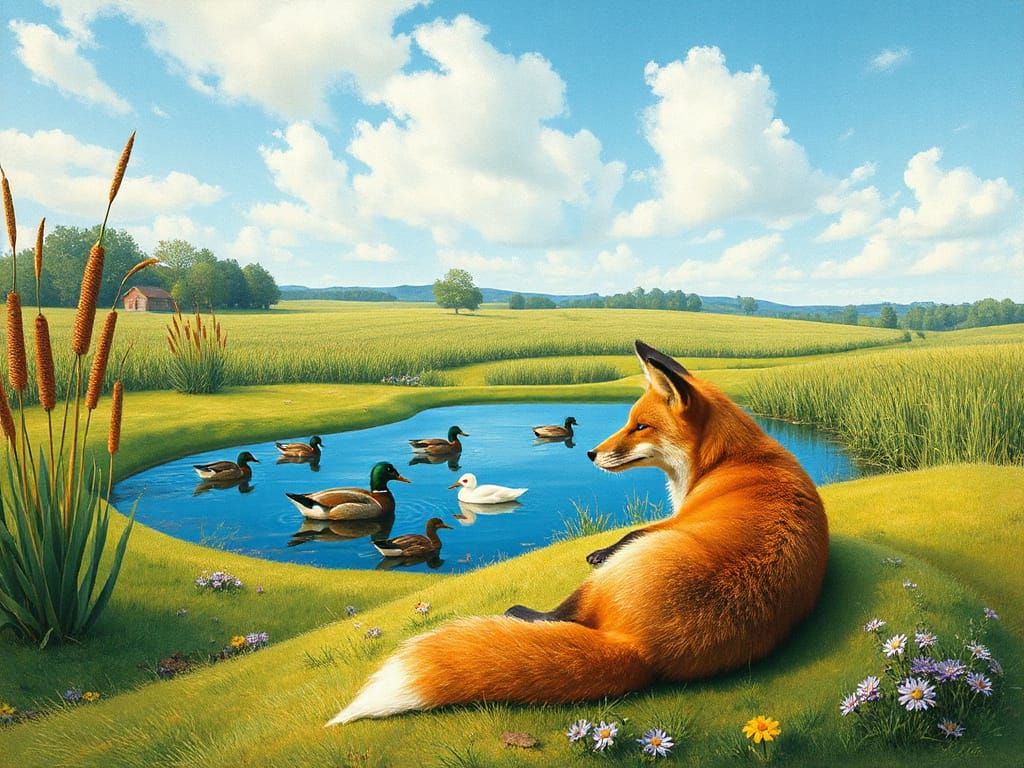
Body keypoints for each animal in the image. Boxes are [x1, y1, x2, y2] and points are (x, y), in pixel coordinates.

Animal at [327, 340, 829, 726]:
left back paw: (521, 612)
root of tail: (642, 651)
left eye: (640, 426)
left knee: (557, 616)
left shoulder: (672, 522)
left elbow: (627, 534)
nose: (589, 453)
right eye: (628, 420)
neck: (727, 461)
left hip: (607, 577)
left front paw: (597, 549)